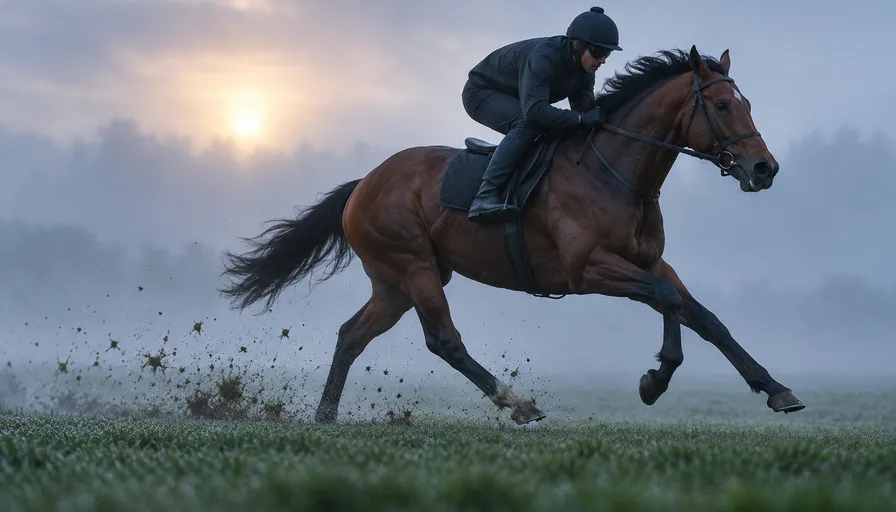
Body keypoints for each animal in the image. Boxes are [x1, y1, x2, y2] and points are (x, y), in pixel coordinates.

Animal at [219, 46, 806, 424]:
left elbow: (703, 316)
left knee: (351, 335)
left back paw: (325, 415)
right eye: (724, 105)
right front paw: (654, 381)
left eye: (747, 103)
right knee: (444, 341)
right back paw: (518, 403)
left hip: (393, 283)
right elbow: (667, 300)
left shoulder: (651, 261)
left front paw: (775, 389)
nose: (764, 169)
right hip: (415, 267)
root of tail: (363, 184)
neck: (616, 171)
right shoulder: (587, 269)